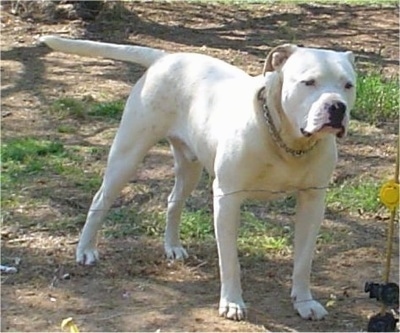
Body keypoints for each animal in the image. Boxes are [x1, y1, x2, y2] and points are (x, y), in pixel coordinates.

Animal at [38, 35, 356, 320]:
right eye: (308, 82)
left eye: (348, 85)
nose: (337, 106)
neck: (288, 141)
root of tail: (165, 57)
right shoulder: (227, 199)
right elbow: (230, 261)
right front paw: (232, 302)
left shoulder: (313, 201)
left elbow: (303, 260)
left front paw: (304, 302)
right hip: (126, 157)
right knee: (100, 199)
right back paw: (86, 250)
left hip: (188, 168)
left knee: (173, 202)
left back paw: (172, 246)